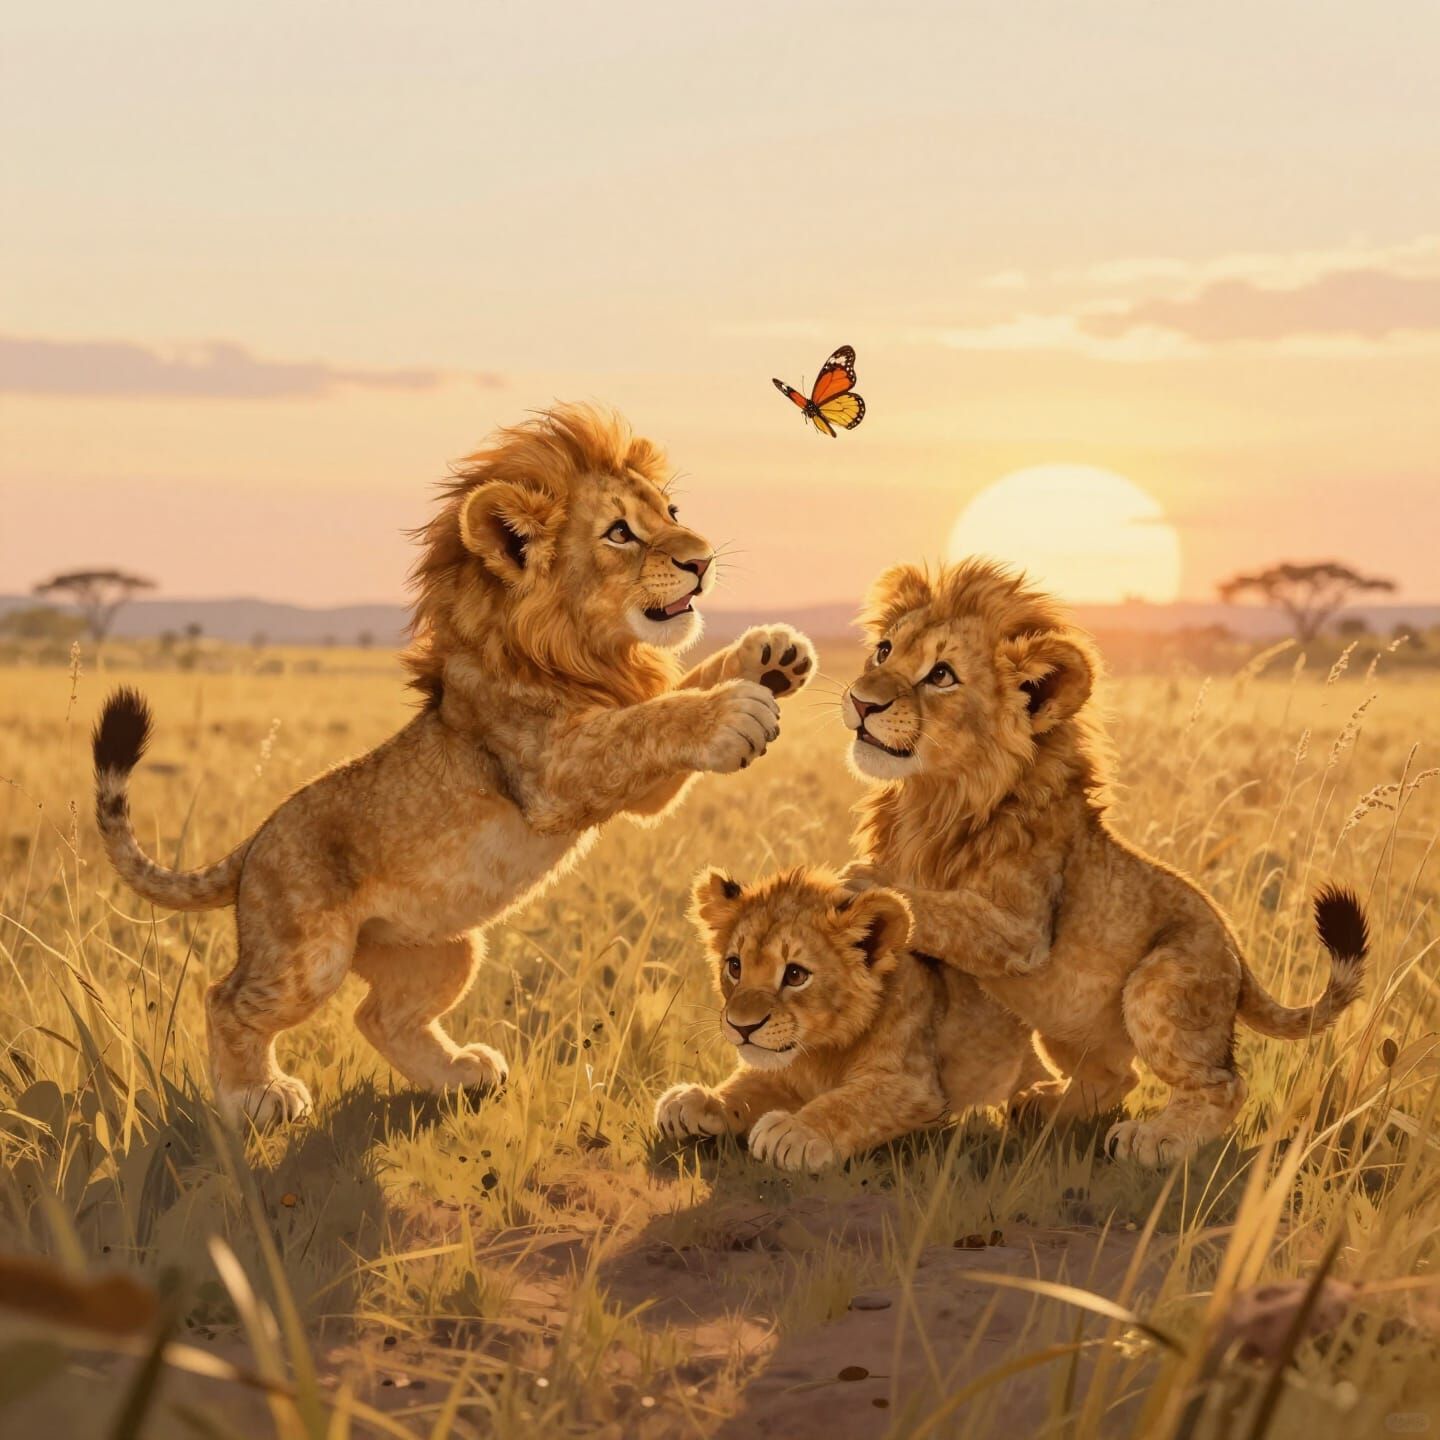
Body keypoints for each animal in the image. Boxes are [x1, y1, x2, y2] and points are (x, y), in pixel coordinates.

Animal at [92, 403, 817, 1127]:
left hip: (446, 951)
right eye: (619, 533)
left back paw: (461, 1076)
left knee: (379, 1017)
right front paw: (734, 711)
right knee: (228, 999)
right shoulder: (555, 771)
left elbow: (680, 688)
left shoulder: (635, 788)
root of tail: (253, 843)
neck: (587, 650)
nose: (703, 560)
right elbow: (651, 719)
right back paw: (256, 1097)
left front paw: (771, 656)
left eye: (670, 511)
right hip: (307, 953)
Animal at [653, 866, 1041, 1171]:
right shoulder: (782, 1075)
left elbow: (850, 1103)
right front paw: (692, 1101)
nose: (741, 1026)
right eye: (735, 966)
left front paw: (795, 1131)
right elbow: (743, 1088)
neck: (818, 1053)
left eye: (795, 974)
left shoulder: (916, 1086)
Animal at [837, 558, 1369, 1165]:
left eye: (942, 674)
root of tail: (1237, 950)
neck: (930, 800)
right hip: (1065, 1024)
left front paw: (864, 883)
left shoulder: (1023, 932)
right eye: (883, 651)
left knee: (1222, 1084)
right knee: (1119, 1075)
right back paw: (1040, 1110)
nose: (860, 701)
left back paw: (1155, 1140)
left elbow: (942, 909)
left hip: (1161, 982)